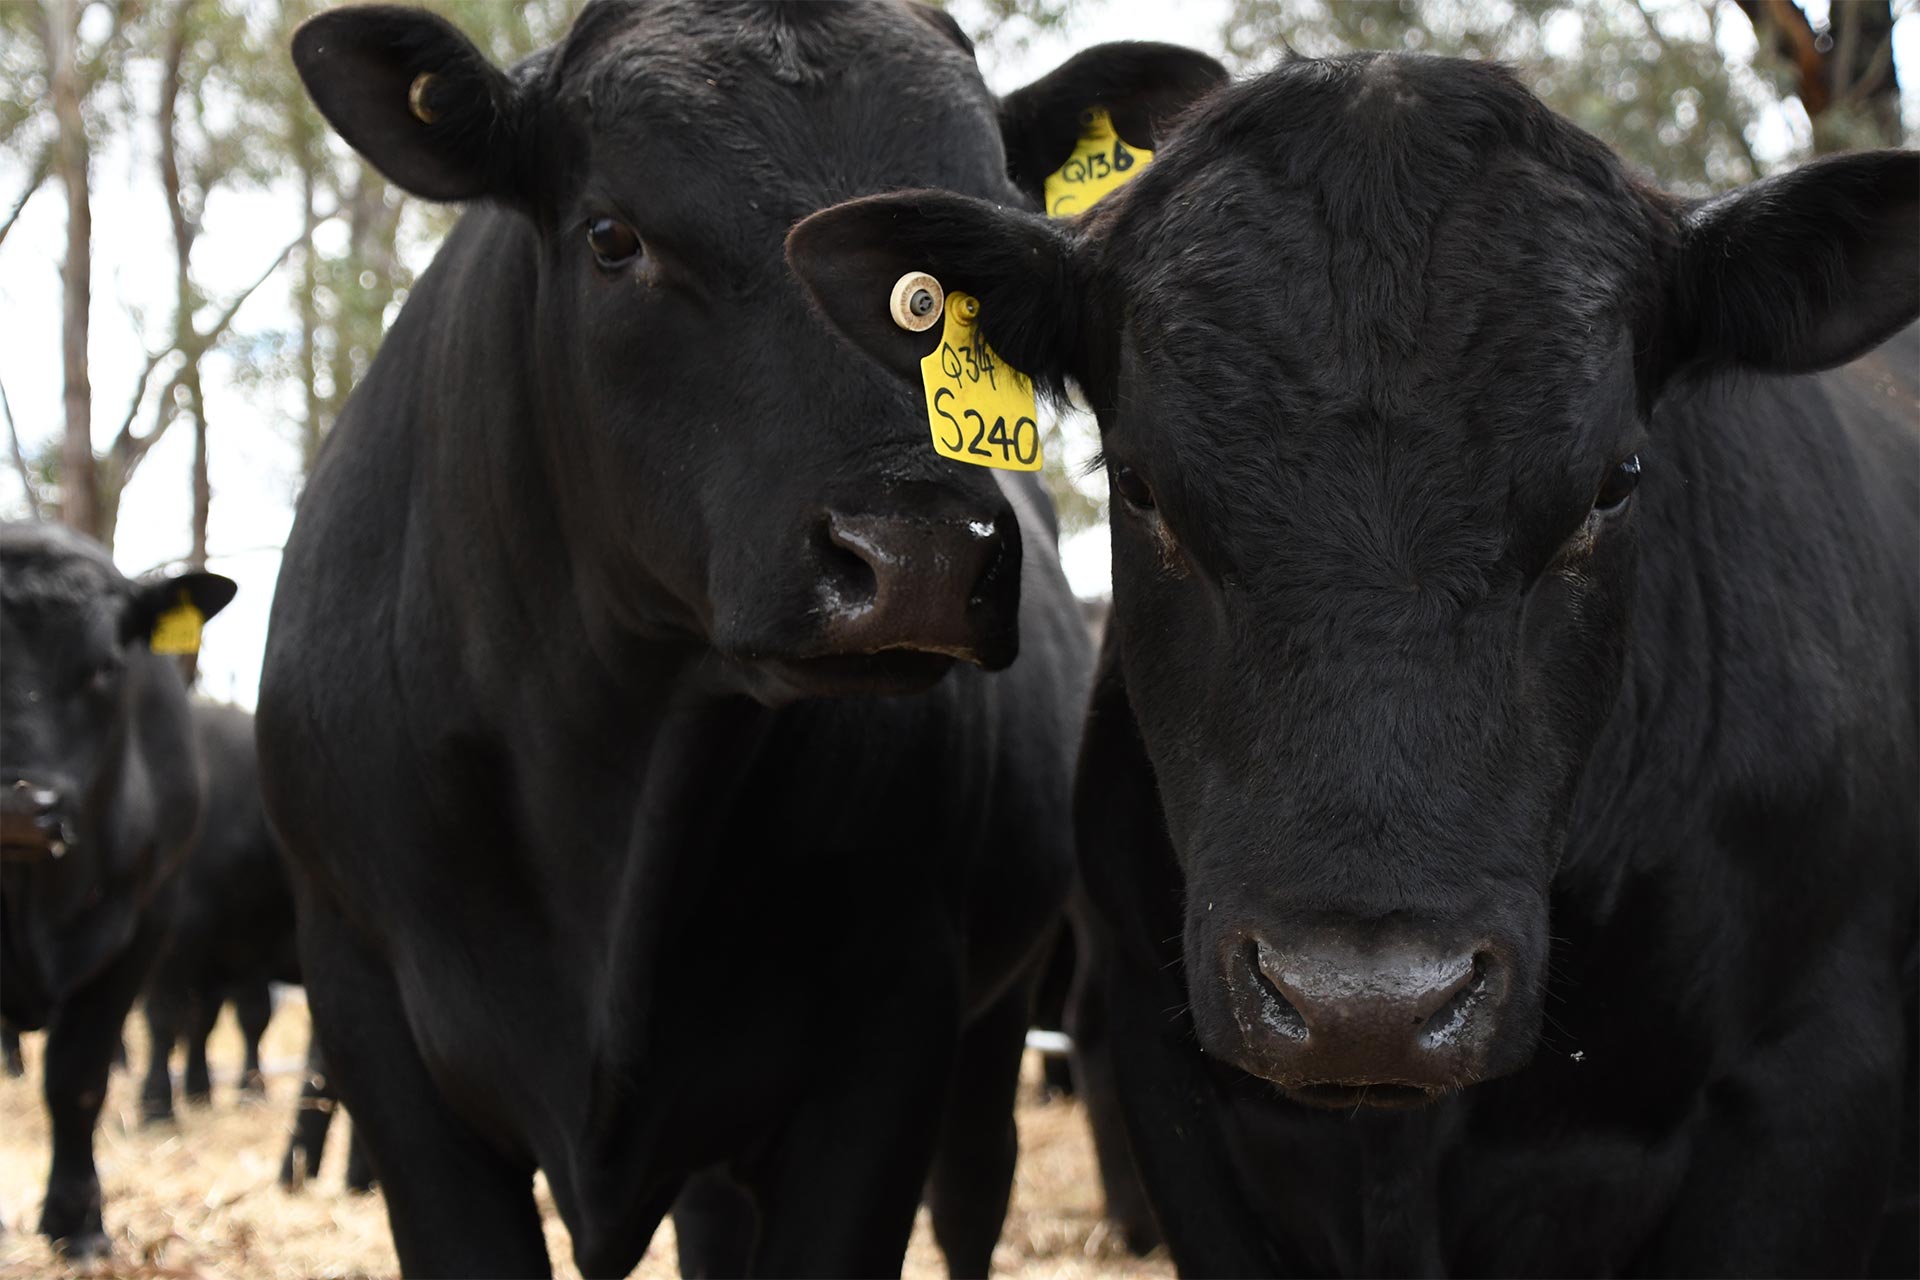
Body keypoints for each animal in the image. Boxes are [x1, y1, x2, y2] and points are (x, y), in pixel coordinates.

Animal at [255, 4, 1224, 1275]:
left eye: (977, 266)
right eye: (612, 235)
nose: (919, 555)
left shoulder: (895, 1013)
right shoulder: (366, 1003)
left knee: (974, 1191)